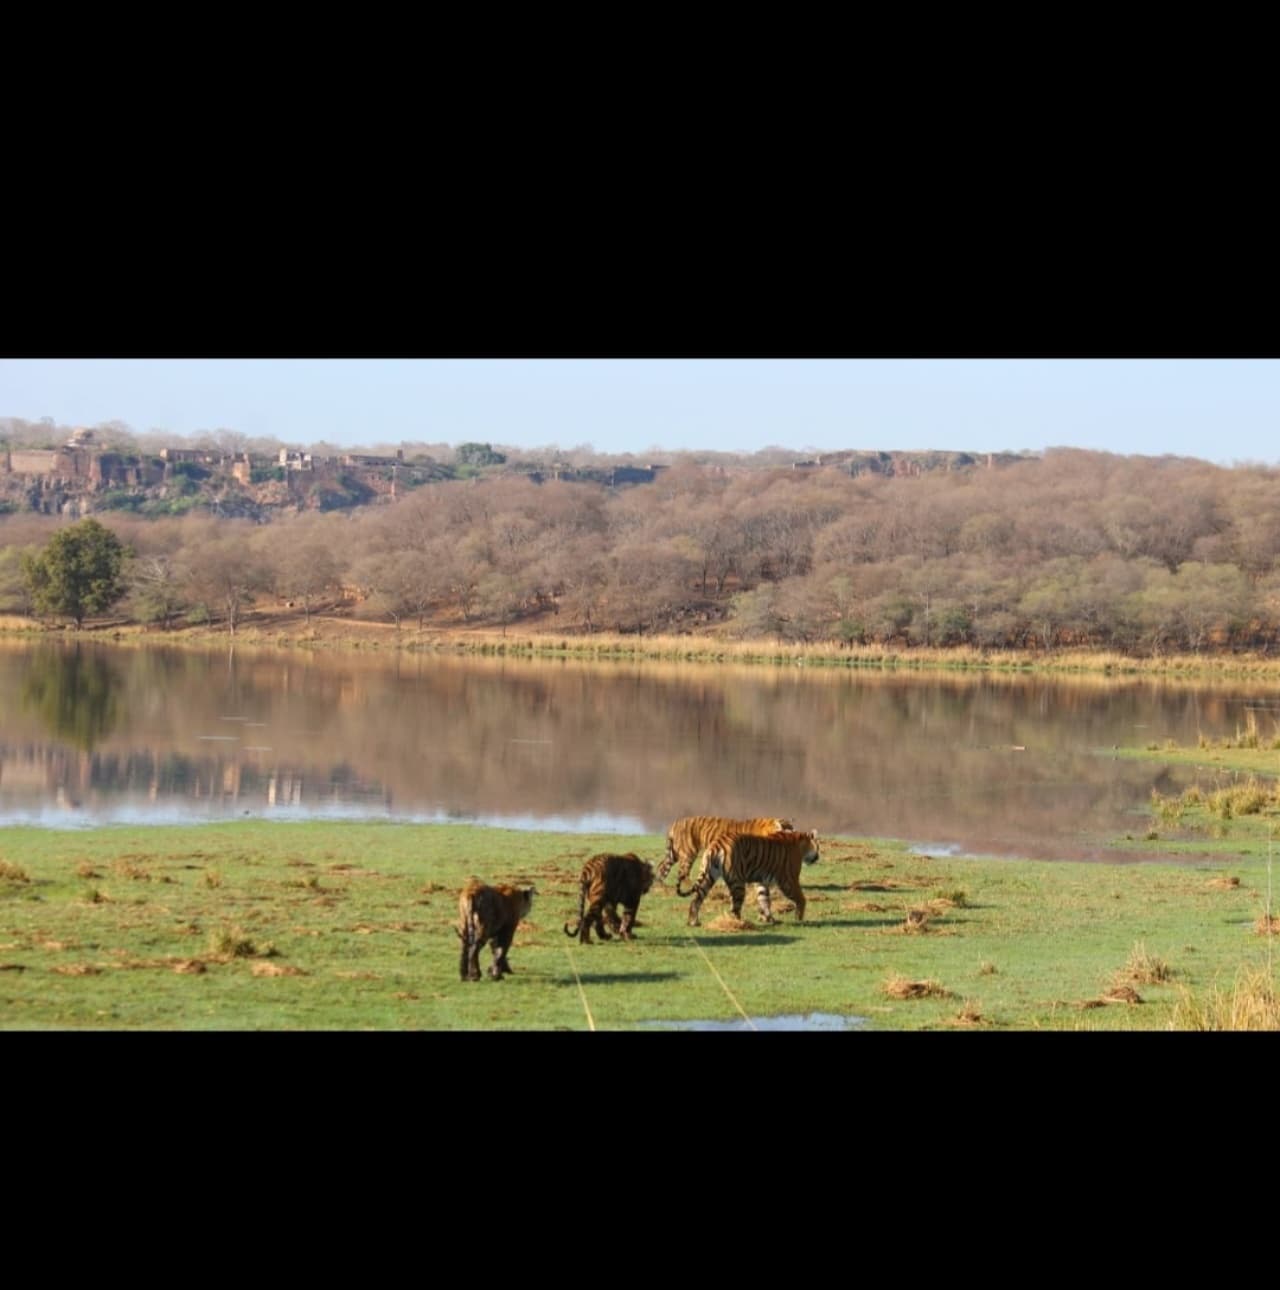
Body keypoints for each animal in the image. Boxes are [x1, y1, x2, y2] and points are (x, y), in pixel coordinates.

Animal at [656, 815, 794, 887]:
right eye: (787, 828)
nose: (793, 834)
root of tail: (676, 822)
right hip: (688, 853)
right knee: (683, 873)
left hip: (674, 853)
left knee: (662, 866)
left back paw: (660, 884)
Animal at [677, 829, 820, 927]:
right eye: (818, 847)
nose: (818, 857)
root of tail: (717, 843)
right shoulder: (789, 880)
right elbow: (800, 898)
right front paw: (799, 918)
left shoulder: (761, 881)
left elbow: (764, 899)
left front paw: (768, 919)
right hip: (738, 883)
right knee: (735, 908)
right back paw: (739, 924)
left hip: (708, 876)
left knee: (696, 900)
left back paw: (693, 922)